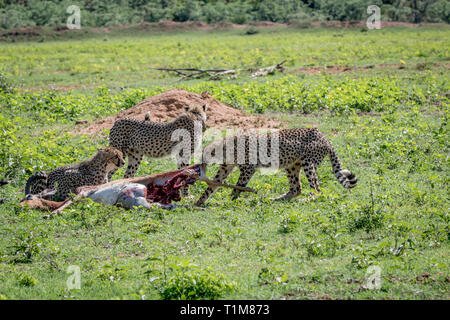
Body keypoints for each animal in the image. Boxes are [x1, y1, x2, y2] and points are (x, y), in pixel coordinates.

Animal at [195, 127, 356, 205]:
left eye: (204, 156)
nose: (200, 165)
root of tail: (324, 137)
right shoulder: (225, 168)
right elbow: (212, 185)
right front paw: (199, 202)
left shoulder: (248, 169)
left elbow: (238, 187)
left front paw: (230, 201)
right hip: (292, 166)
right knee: (297, 188)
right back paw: (275, 199)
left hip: (308, 163)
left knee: (316, 189)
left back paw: (307, 199)